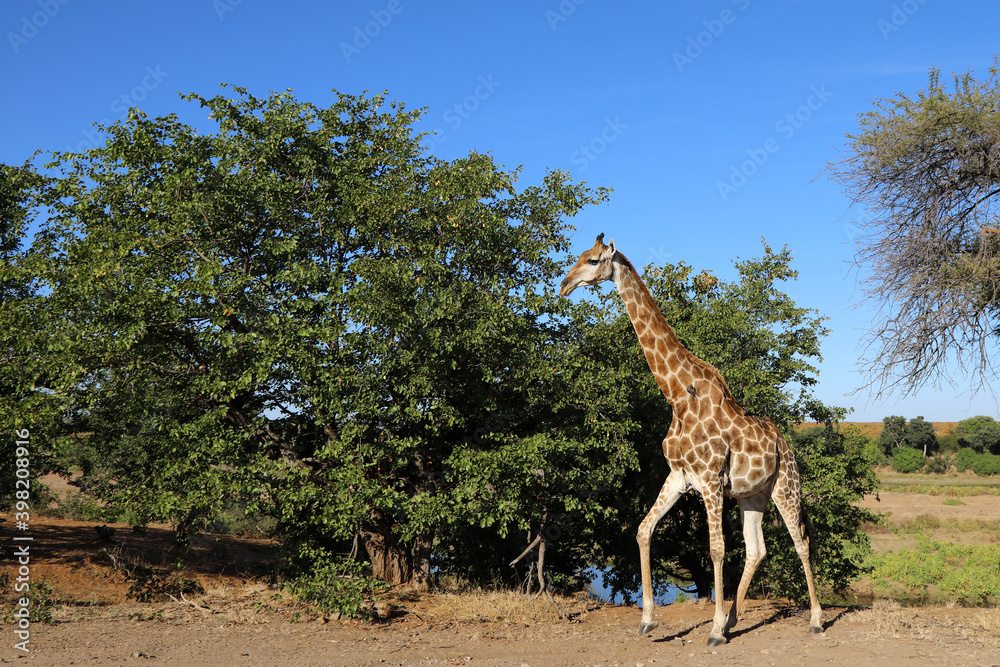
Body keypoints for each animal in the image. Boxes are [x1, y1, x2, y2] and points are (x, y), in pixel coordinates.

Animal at [559, 234, 822, 646]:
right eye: (580, 256)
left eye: (593, 260)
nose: (564, 285)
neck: (678, 396)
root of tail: (787, 446)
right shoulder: (680, 476)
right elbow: (643, 530)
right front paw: (648, 620)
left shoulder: (711, 479)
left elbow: (715, 550)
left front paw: (712, 630)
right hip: (752, 495)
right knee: (757, 549)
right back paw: (732, 621)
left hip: (786, 486)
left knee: (800, 542)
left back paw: (814, 619)